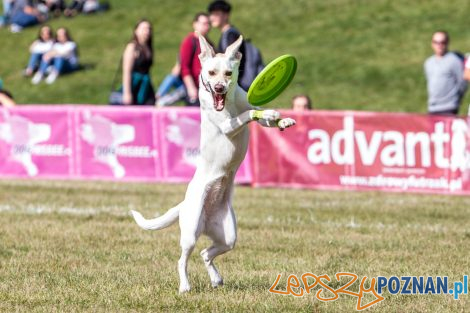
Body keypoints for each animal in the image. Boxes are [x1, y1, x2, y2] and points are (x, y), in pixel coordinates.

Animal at [130, 34, 296, 292]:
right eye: (210, 72)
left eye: (228, 73)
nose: (219, 87)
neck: (228, 102)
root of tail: (185, 205)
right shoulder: (228, 124)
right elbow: (246, 116)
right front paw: (269, 114)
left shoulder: (246, 103)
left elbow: (256, 113)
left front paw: (282, 120)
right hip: (190, 232)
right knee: (183, 259)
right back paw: (185, 286)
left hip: (227, 235)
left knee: (206, 253)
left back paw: (216, 279)